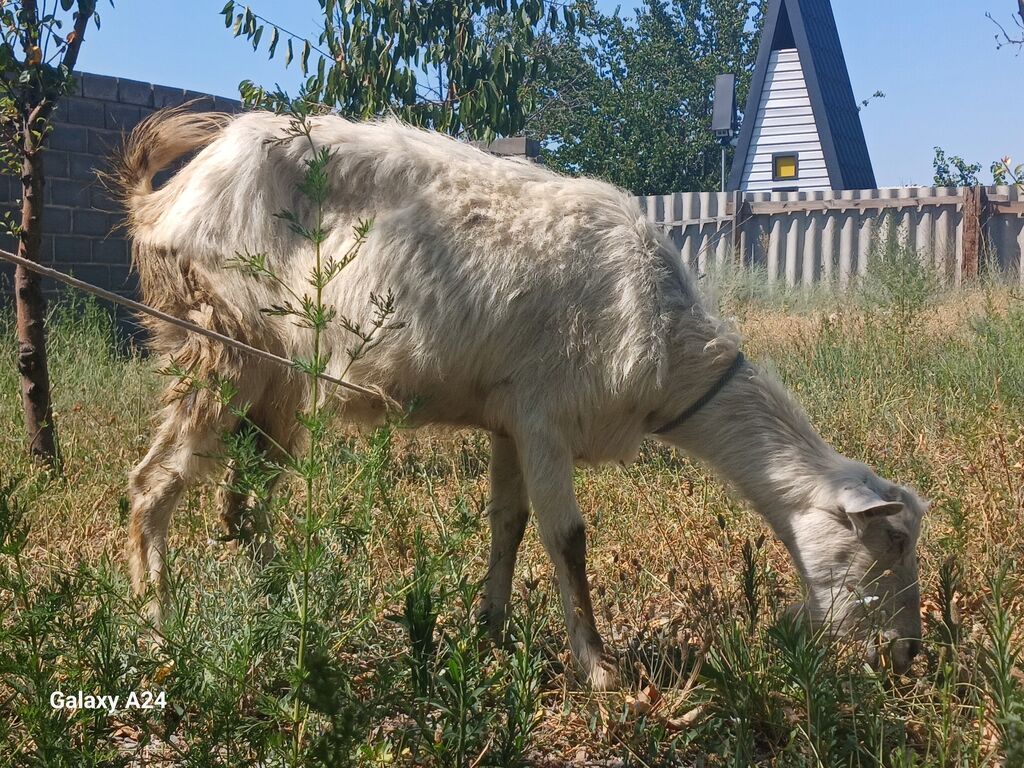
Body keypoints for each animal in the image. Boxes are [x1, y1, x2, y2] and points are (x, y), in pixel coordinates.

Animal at [113, 106, 926, 690]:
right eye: (890, 544)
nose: (907, 656)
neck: (670, 348)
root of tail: (163, 200)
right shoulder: (544, 418)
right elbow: (567, 538)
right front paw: (599, 669)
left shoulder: (507, 420)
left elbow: (508, 521)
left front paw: (491, 628)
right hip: (219, 337)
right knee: (152, 485)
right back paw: (158, 629)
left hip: (273, 375)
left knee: (243, 497)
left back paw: (281, 603)